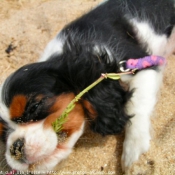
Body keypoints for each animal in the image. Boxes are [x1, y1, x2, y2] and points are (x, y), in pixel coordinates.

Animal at [0, 0, 175, 172]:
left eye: (34, 107)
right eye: (2, 134)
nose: (15, 148)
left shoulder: (142, 63)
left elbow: (137, 105)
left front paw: (135, 153)